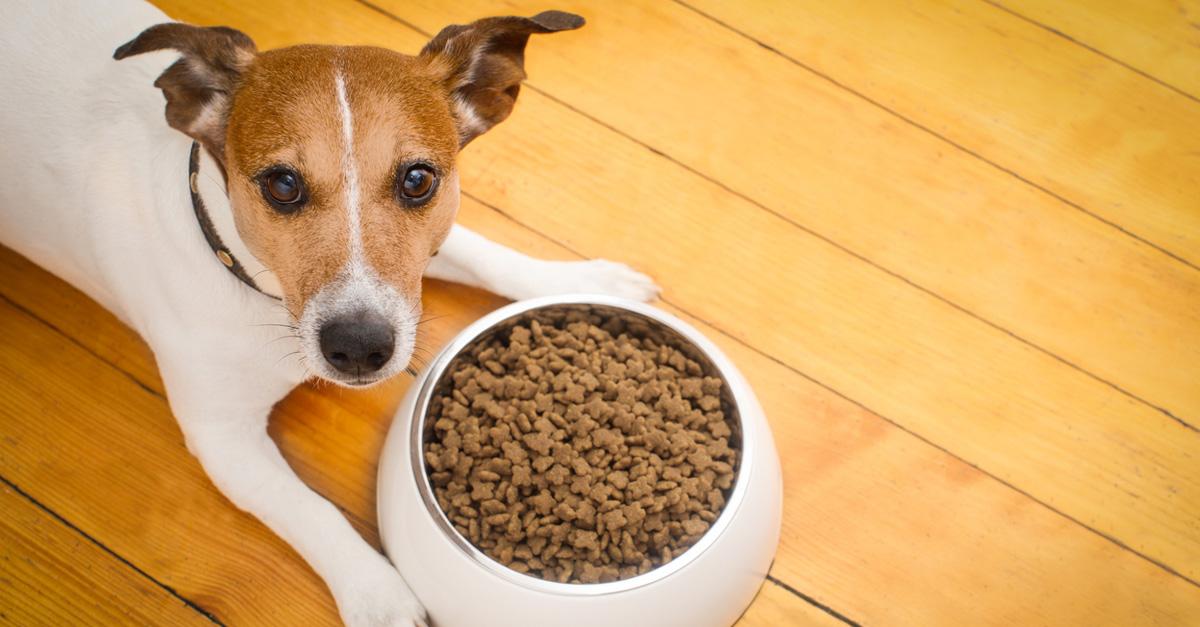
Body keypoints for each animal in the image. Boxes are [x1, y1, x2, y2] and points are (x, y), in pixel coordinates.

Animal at [0, 2, 657, 619]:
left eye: (418, 179)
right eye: (282, 185)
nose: (360, 347)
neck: (253, 285)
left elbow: (481, 252)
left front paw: (584, 280)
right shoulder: (222, 437)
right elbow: (313, 511)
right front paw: (379, 595)